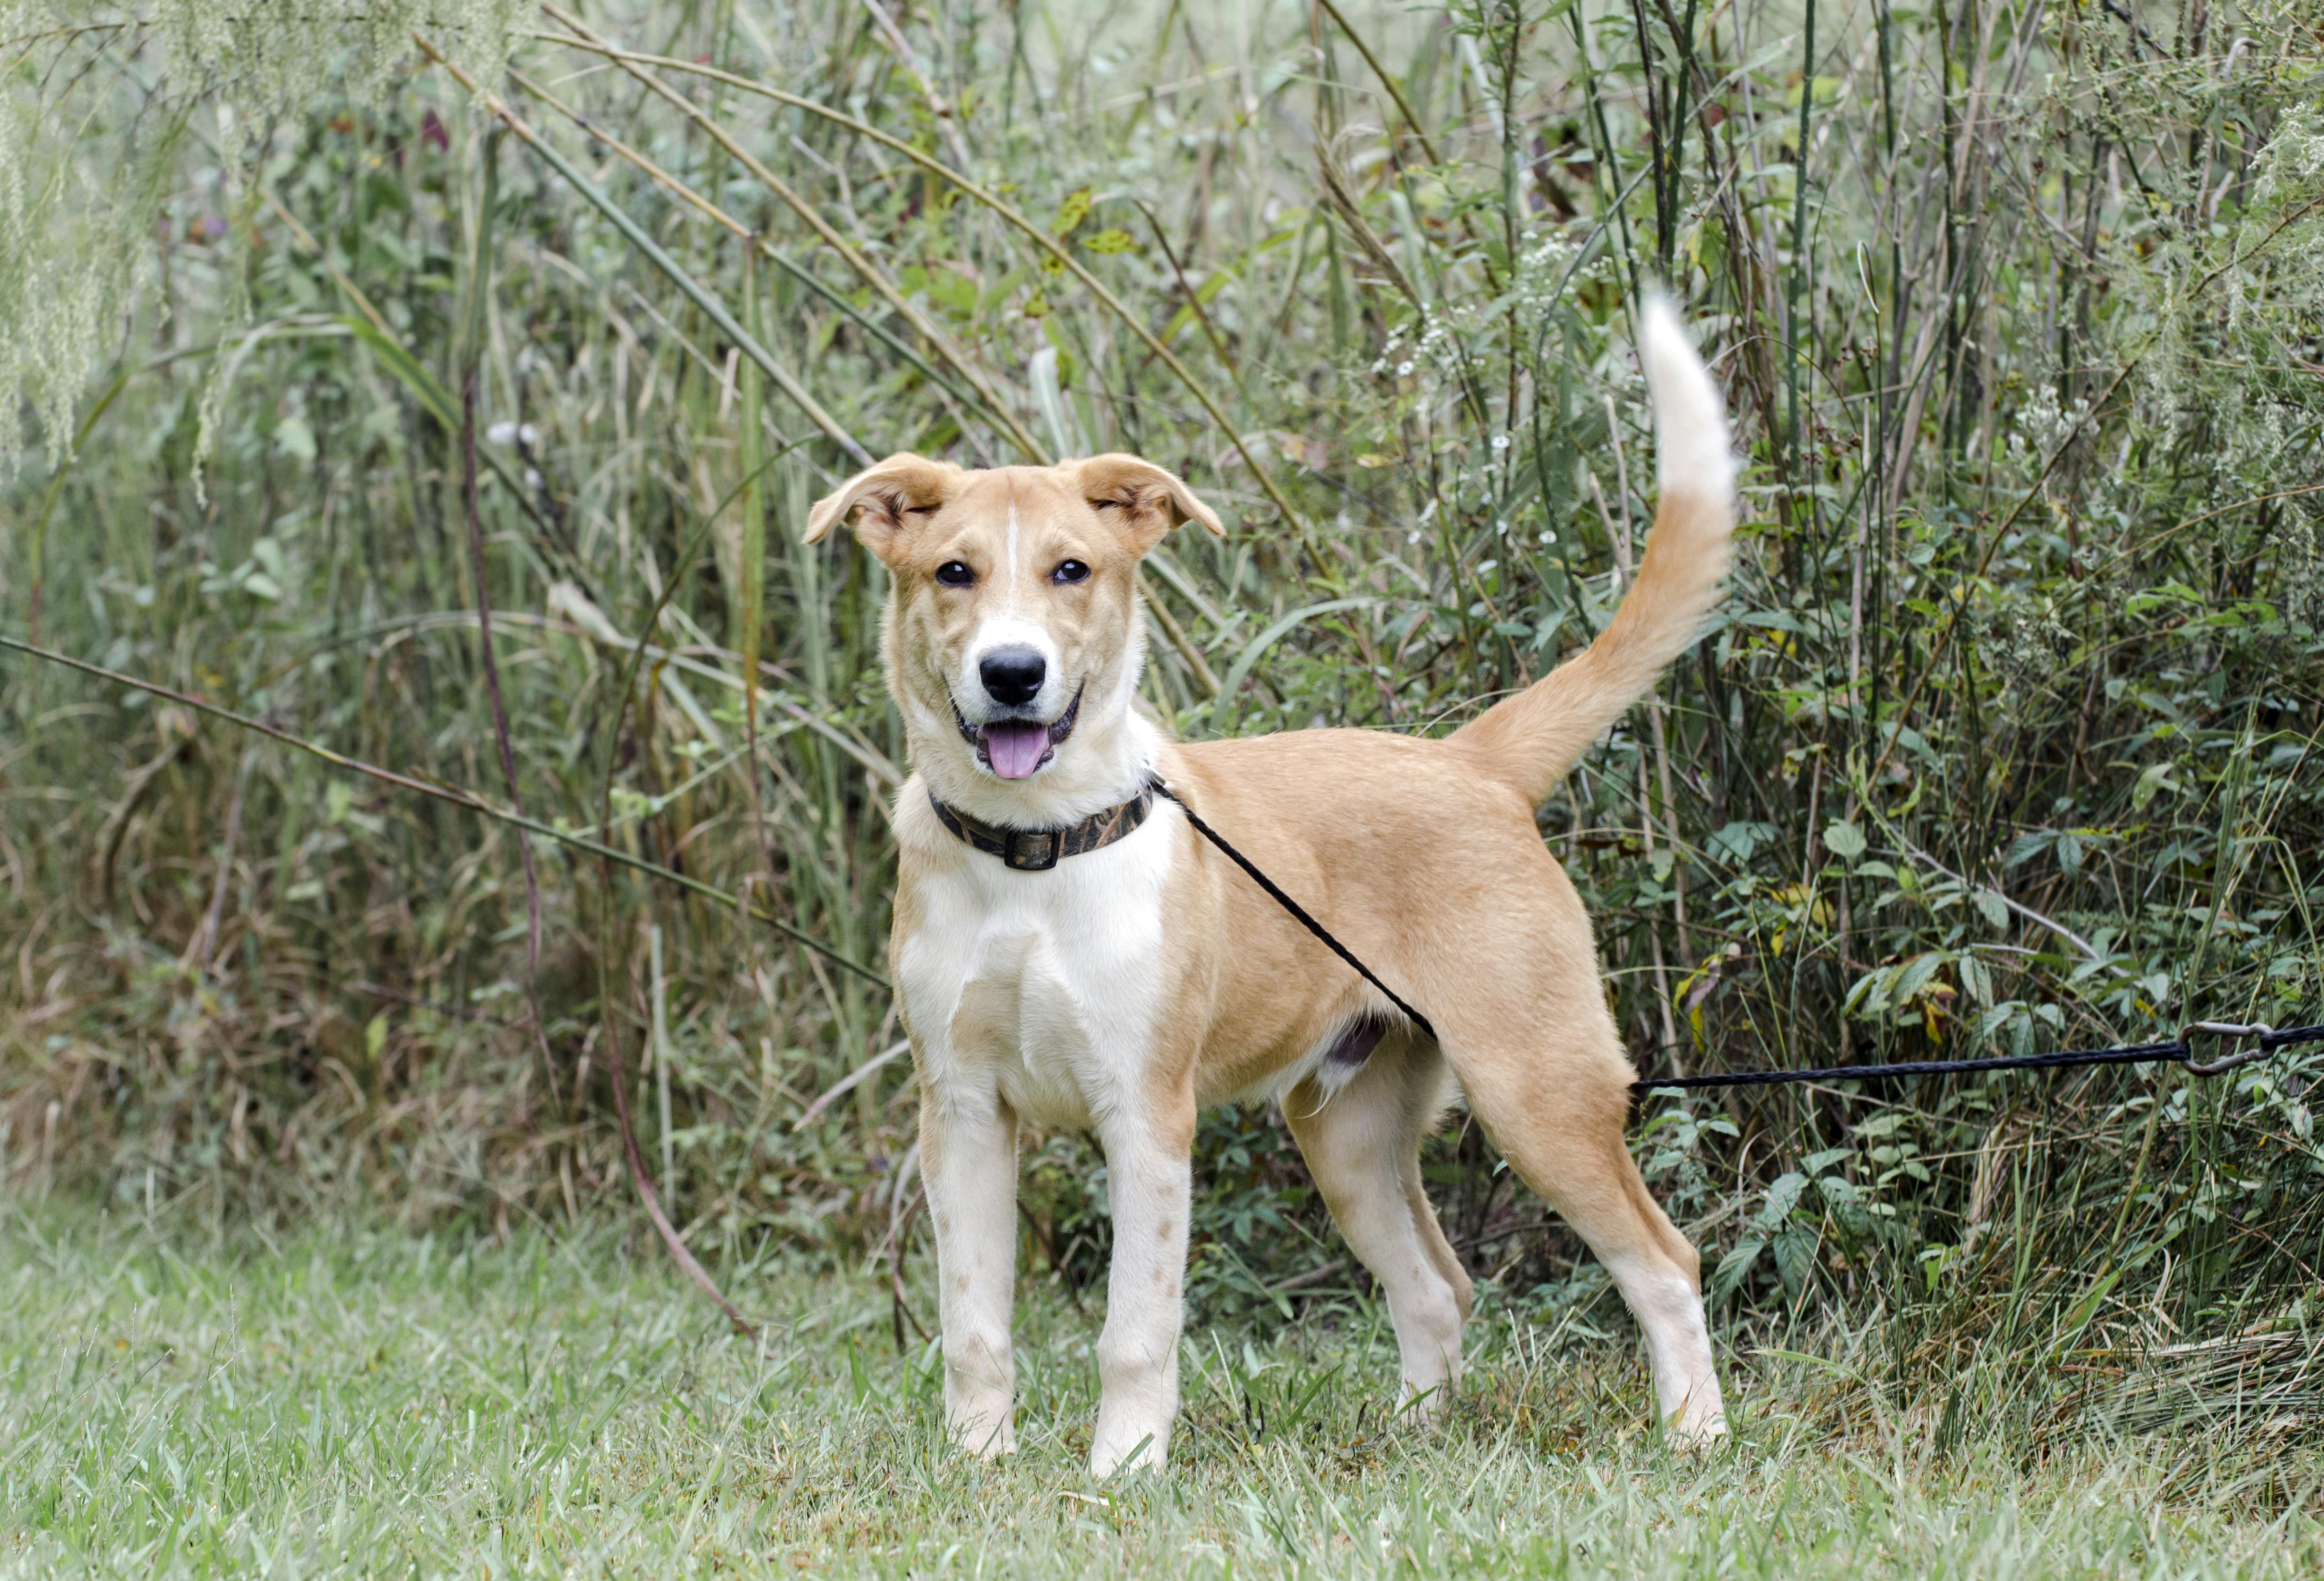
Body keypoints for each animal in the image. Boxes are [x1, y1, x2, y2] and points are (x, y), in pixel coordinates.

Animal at [808, 300, 1738, 1478]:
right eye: (953, 572)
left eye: (1072, 570)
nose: (1012, 676)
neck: (1039, 850)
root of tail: (1473, 762)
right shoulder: (963, 1112)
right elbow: (976, 1323)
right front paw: (980, 1465)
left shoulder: (1147, 1117)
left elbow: (1135, 1328)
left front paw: (1123, 1472)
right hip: (1348, 1132)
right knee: (1438, 1287)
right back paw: (1411, 1440)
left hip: (1541, 1092)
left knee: (1666, 1262)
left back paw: (1698, 1436)